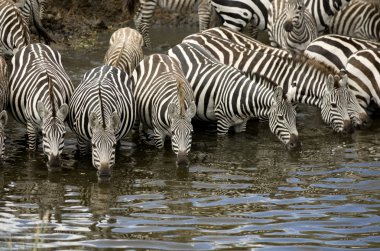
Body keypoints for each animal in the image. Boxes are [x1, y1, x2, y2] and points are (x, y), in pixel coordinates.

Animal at [168, 42, 302, 150]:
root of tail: (179, 45)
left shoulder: (242, 123)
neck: (244, 99)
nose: (296, 145)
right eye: (280, 117)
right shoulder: (222, 123)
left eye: (295, 115)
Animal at [184, 27, 366, 129]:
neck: (288, 78)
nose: (364, 121)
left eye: (352, 98)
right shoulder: (266, 111)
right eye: (336, 105)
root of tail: (192, 36)